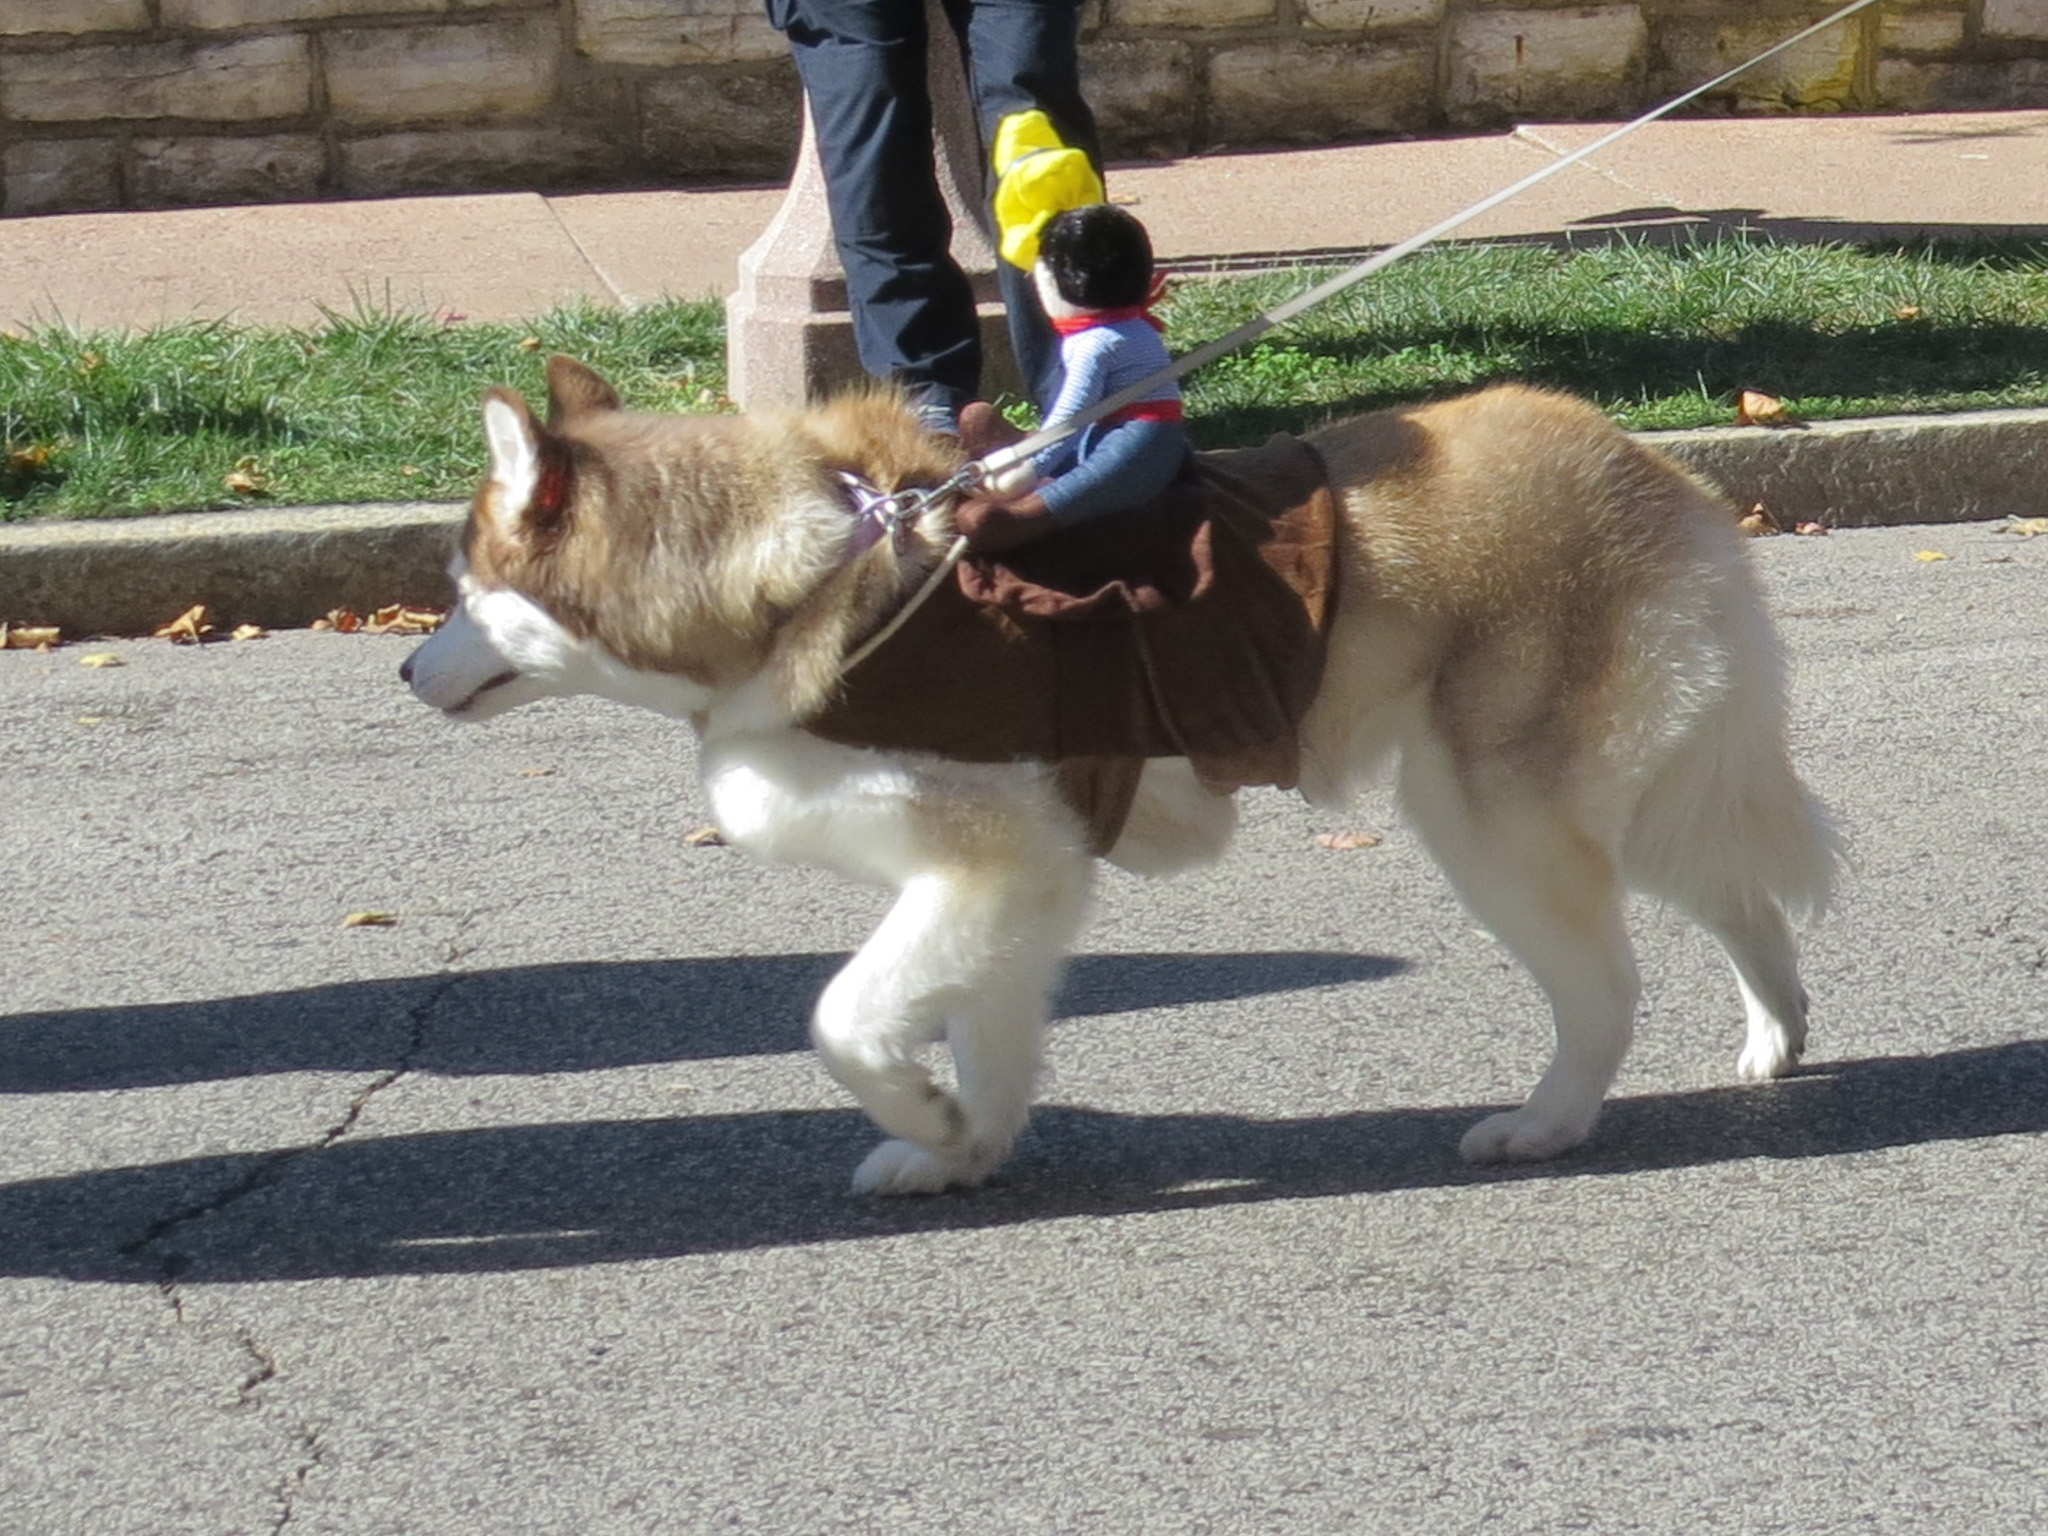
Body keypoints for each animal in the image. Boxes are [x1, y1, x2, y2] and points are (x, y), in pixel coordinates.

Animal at [399, 360, 1843, 1204]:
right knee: (1739, 897)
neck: (808, 576)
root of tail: (1645, 462)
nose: (408, 668)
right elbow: (986, 1032)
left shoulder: (992, 860)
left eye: (464, 589)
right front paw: (963, 1148)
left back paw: (1548, 1123)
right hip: (1622, 796)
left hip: (1491, 820)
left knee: (1606, 985)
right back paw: (1773, 1031)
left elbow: (844, 1019)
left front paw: (917, 1106)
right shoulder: (1013, 881)